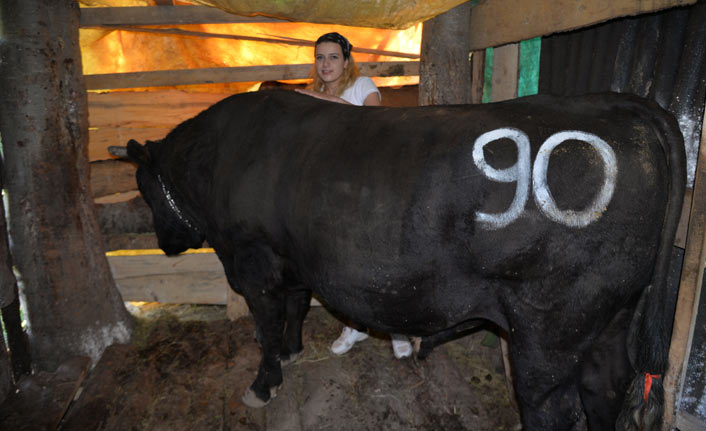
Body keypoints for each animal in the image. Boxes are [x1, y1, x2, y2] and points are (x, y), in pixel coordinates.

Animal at [110, 89, 680, 430]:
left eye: (143, 187)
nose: (165, 243)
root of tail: (623, 103)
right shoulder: (294, 258)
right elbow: (295, 307)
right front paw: (295, 352)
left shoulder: (253, 259)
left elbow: (267, 326)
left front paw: (263, 383)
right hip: (613, 309)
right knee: (606, 382)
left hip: (549, 327)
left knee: (553, 406)